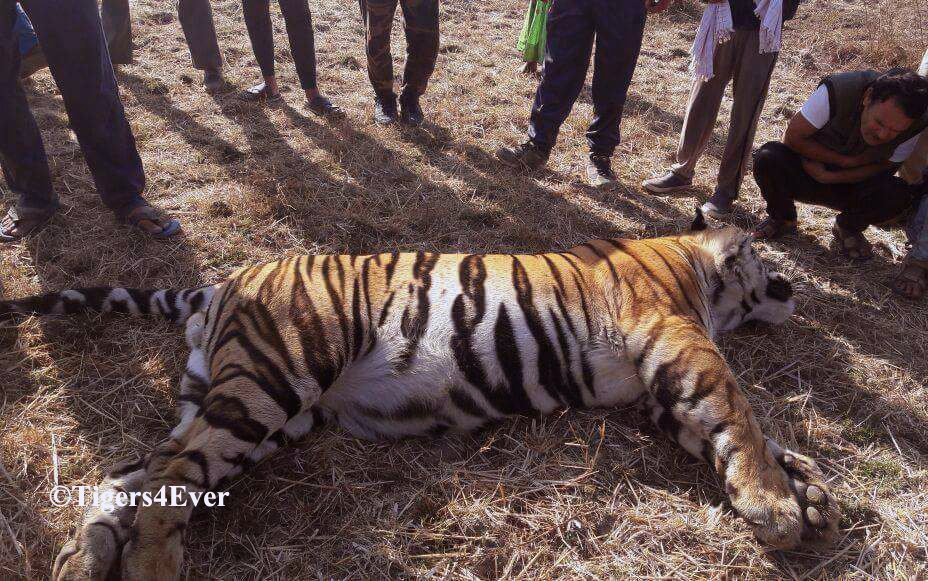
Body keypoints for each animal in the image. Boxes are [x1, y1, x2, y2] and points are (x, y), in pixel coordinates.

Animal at [0, 212, 839, 581]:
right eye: (767, 261)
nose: (793, 286)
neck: (691, 261)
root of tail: (220, 282)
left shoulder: (656, 386)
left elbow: (738, 429)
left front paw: (810, 489)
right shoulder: (675, 336)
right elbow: (739, 411)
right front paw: (778, 507)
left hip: (250, 404)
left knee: (138, 469)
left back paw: (82, 558)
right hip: (273, 380)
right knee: (170, 475)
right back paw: (148, 566)